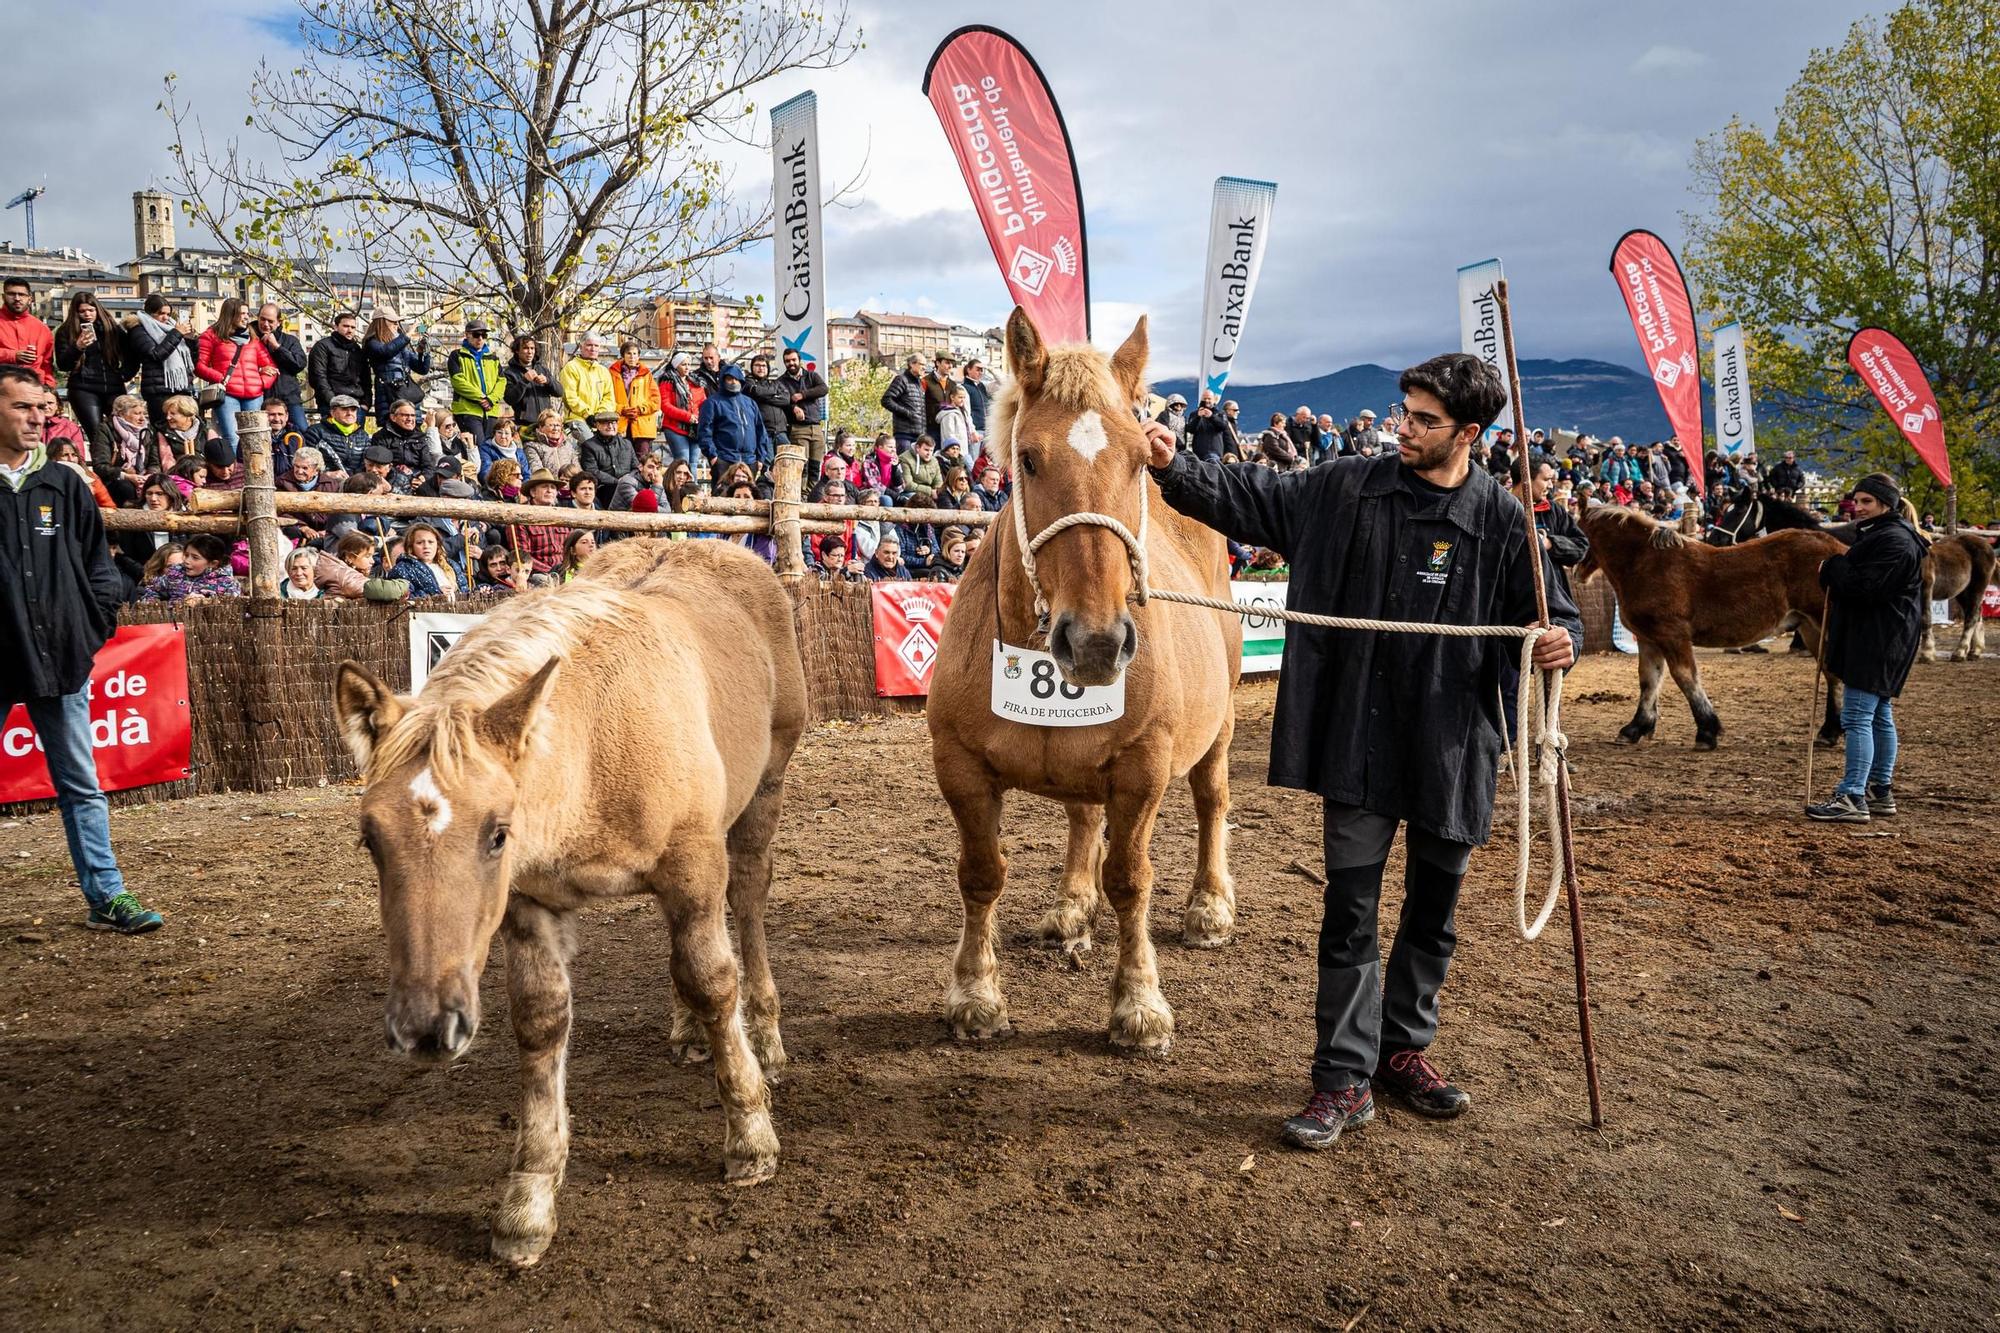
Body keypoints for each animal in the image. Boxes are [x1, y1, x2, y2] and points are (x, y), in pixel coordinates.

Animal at [328, 536, 804, 1264]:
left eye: (497, 832)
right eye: (370, 838)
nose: (426, 1027)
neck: (595, 744)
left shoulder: (694, 867)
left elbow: (713, 978)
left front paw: (751, 1136)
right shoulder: (528, 907)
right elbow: (543, 1019)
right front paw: (528, 1199)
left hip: (761, 798)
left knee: (745, 905)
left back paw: (766, 1038)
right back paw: (688, 1031)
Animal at [920, 306, 1232, 1056]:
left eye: (1140, 459)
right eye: (1029, 458)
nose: (1095, 642)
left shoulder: (1144, 767)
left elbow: (1131, 880)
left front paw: (1139, 1002)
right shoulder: (960, 766)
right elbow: (982, 874)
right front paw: (975, 993)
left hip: (1220, 728)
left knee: (1212, 799)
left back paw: (1209, 906)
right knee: (1083, 814)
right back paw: (1071, 905)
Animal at [1576, 500, 1840, 748]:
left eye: (1577, 528)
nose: (1578, 572)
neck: (1646, 562)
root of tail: (1838, 548)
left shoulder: (1673, 636)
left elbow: (1686, 678)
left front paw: (1706, 730)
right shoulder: (1648, 639)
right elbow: (1649, 680)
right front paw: (1636, 728)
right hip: (1811, 628)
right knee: (1831, 674)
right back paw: (1829, 732)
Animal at [1704, 488, 2000, 660]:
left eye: (1739, 510)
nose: (1714, 538)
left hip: (1970, 588)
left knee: (1971, 615)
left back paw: (1959, 651)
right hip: (1964, 591)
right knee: (1975, 615)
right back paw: (1973, 650)